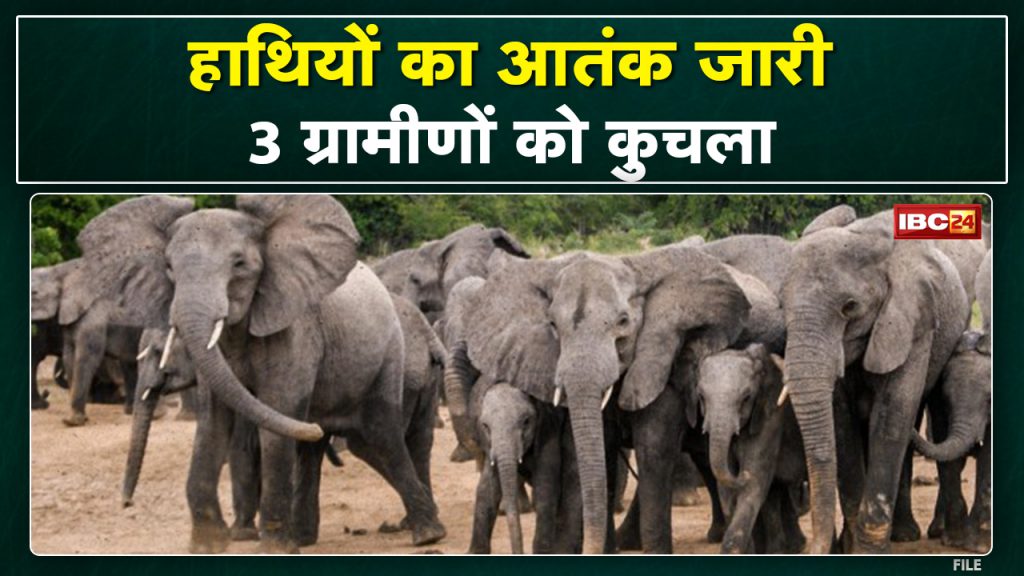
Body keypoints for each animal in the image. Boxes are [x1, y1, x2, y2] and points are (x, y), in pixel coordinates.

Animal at [79, 195, 445, 553]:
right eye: (169, 267)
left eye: (240, 264)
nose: (126, 503)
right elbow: (212, 425)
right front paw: (208, 545)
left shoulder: (295, 330)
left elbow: (276, 419)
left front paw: (271, 546)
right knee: (327, 446)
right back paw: (305, 536)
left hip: (389, 356)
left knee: (380, 434)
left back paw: (427, 535)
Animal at [697, 344, 807, 553]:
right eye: (701, 397)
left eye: (746, 398)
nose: (741, 473)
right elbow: (726, 491)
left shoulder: (772, 417)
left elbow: (754, 484)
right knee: (776, 494)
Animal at [779, 209, 970, 553]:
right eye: (781, 306)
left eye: (850, 307)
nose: (810, 548)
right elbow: (842, 425)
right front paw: (851, 547)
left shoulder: (914, 323)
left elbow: (891, 418)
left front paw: (868, 550)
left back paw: (912, 535)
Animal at [913, 331, 991, 552]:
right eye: (947, 399)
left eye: (990, 399)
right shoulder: (937, 404)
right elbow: (949, 459)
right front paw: (954, 541)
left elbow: (988, 458)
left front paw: (977, 545)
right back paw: (938, 531)